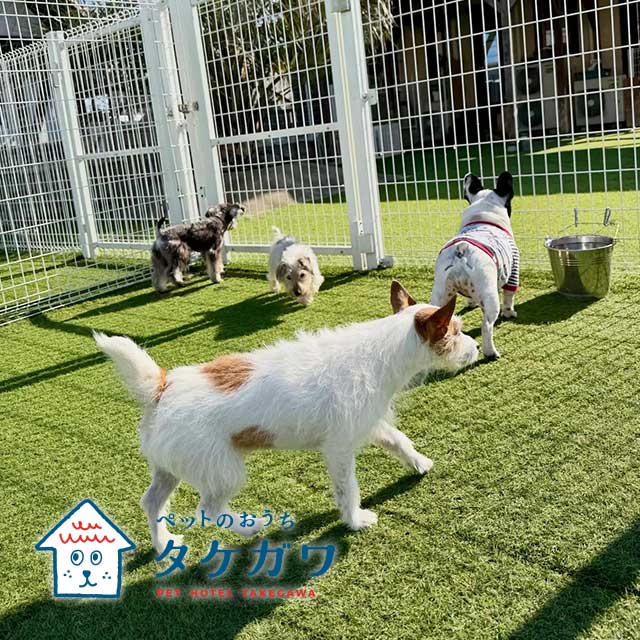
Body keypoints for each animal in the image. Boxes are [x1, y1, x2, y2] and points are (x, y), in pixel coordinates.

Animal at [94, 280, 478, 552]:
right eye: (456, 331)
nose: (476, 347)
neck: (385, 350)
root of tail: (160, 387)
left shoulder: (368, 423)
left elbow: (399, 440)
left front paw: (420, 463)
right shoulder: (339, 448)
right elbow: (348, 489)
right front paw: (354, 520)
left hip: (170, 467)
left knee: (151, 502)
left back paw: (163, 544)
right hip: (223, 471)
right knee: (208, 511)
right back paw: (249, 526)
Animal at [431, 171, 519, 360]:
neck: (482, 218)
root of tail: (461, 251)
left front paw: (470, 303)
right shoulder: (514, 269)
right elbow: (509, 296)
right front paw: (510, 313)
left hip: (440, 292)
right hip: (490, 295)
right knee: (487, 326)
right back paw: (491, 352)